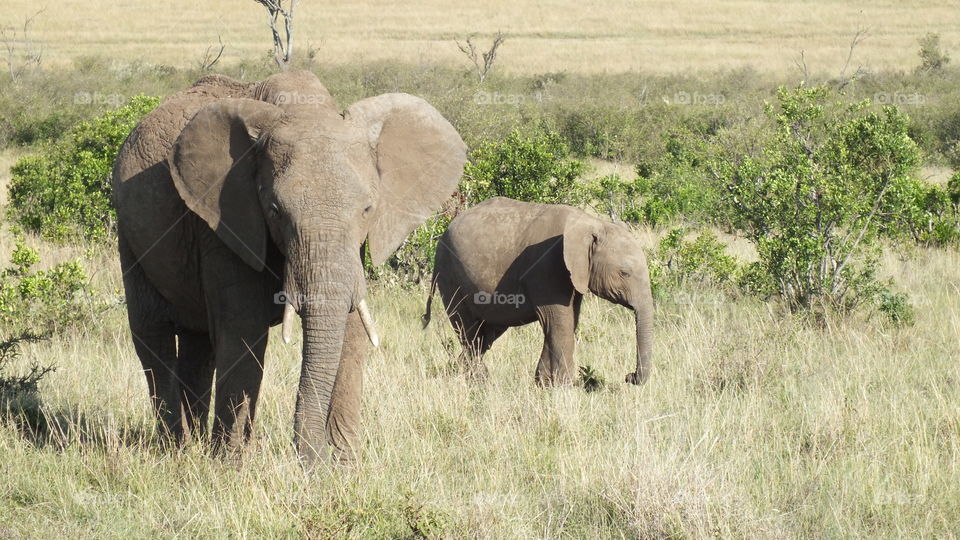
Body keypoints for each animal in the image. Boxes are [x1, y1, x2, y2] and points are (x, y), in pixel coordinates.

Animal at [112, 70, 467, 464]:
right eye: (275, 210)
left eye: (368, 209)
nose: (311, 459)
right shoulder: (224, 218)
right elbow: (243, 328)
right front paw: (233, 465)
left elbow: (350, 327)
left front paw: (343, 466)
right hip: (130, 234)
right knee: (153, 336)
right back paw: (178, 450)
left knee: (198, 343)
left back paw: (194, 446)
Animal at [422, 197, 653, 386]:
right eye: (624, 273)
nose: (629, 376)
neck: (591, 223)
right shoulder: (547, 267)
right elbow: (559, 323)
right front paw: (562, 387)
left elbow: (567, 320)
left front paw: (544, 384)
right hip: (450, 275)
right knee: (469, 331)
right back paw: (479, 382)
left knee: (485, 334)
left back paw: (464, 374)